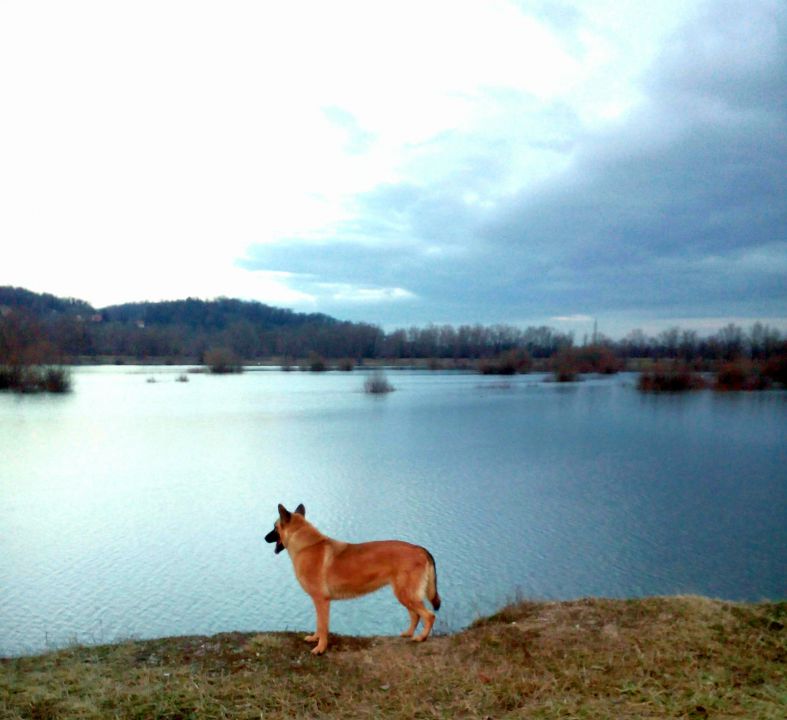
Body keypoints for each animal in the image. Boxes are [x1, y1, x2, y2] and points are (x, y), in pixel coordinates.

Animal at [266, 504, 440, 656]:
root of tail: (419, 549)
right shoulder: (318, 601)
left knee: (429, 616)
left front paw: (320, 648)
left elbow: (323, 626)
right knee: (415, 615)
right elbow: (318, 624)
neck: (307, 546)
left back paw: (421, 637)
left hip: (406, 595)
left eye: (275, 527)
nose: (264, 538)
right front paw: (315, 638)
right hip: (405, 595)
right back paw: (408, 634)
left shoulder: (322, 601)